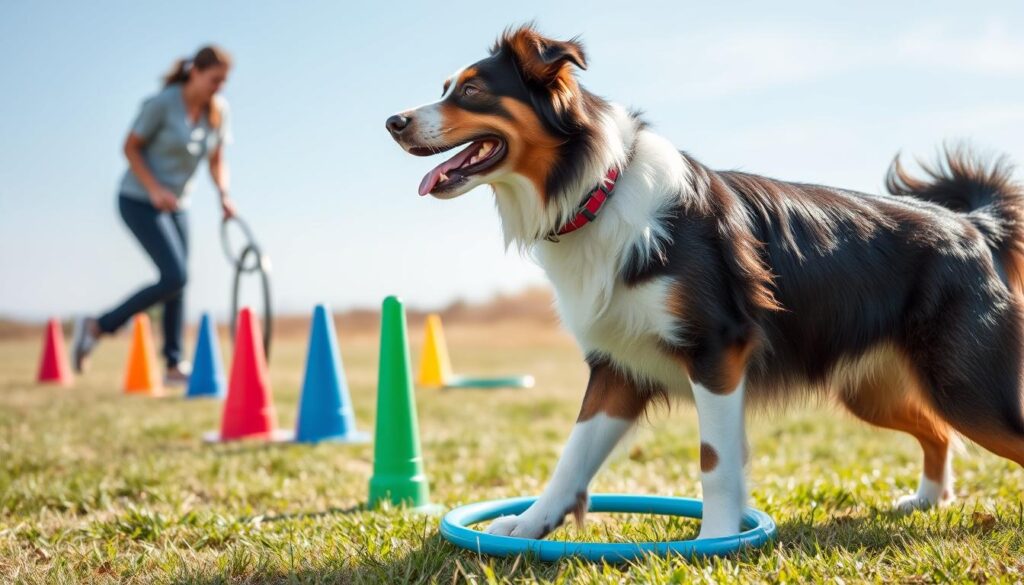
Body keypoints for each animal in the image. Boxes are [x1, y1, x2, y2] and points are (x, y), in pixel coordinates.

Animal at [385, 26, 1024, 540]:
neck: (598, 189)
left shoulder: (718, 350)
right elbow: (573, 455)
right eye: (447, 87)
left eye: (471, 91)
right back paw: (928, 499)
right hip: (876, 388)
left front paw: (715, 541)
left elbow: (715, 461)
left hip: (965, 385)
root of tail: (972, 224)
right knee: (937, 431)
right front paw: (529, 523)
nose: (393, 121)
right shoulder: (618, 366)